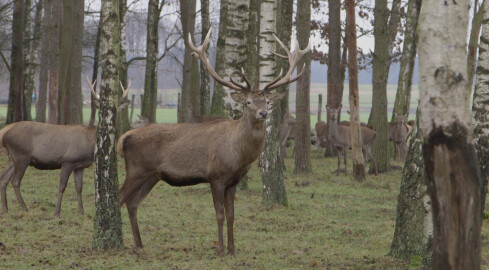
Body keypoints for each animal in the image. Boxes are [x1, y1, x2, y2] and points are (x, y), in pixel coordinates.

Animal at [0, 79, 131, 216]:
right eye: (102, 111)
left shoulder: (80, 165)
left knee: (4, 178)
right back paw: (24, 208)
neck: (90, 145)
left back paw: (5, 208)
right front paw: (57, 212)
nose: (112, 121)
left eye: (118, 110)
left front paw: (81, 211)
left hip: (13, 158)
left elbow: (79, 187)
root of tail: (4, 133)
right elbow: (62, 186)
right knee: (15, 181)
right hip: (21, 156)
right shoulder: (68, 160)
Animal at [116, 28, 308, 256]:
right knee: (118, 198)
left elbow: (232, 215)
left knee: (132, 203)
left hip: (151, 175)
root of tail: (124, 137)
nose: (263, 113)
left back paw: (139, 244)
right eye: (248, 102)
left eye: (267, 101)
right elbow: (220, 214)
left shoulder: (233, 181)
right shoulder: (216, 176)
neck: (239, 155)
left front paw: (233, 248)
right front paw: (220, 249)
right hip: (136, 170)